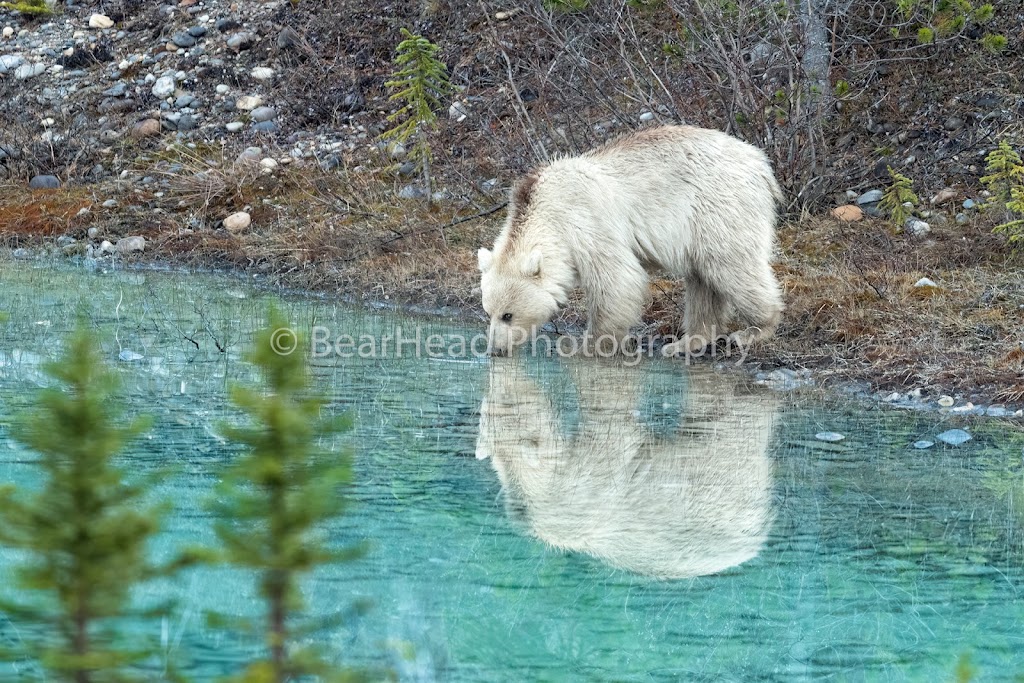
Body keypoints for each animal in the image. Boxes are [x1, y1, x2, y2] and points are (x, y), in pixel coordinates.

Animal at [477, 124, 782, 356]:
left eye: (508, 315)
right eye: (488, 312)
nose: (495, 350)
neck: (544, 206)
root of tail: (759, 162)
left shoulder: (586, 221)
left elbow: (617, 279)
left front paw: (588, 345)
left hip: (718, 207)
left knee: (729, 264)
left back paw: (754, 330)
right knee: (702, 279)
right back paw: (685, 342)